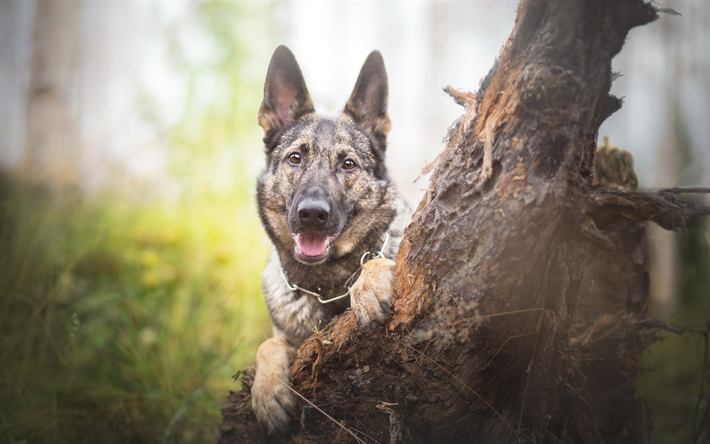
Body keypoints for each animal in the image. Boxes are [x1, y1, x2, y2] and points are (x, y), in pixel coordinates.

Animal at [253, 46, 412, 436]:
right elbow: (267, 343)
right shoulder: (290, 339)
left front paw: (367, 285)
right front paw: (266, 393)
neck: (328, 286)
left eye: (349, 164)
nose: (312, 214)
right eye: (295, 158)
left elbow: (375, 257)